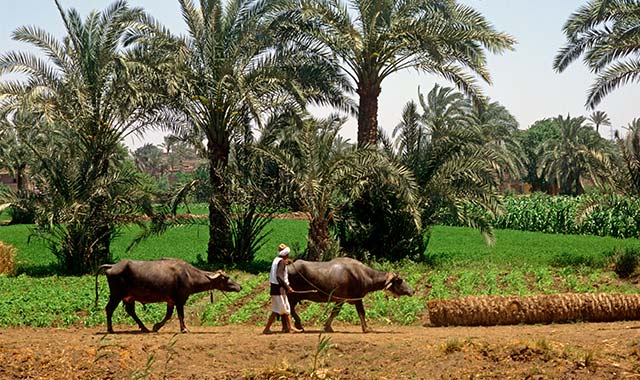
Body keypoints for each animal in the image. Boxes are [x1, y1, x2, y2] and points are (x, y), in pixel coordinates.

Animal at [95, 258, 242, 332]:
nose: (240, 286)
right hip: (116, 295)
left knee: (130, 311)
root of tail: (112, 266)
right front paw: (184, 329)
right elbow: (180, 315)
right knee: (109, 309)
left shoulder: (170, 300)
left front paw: (156, 327)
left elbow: (168, 315)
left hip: (129, 297)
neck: (188, 275)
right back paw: (110, 329)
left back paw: (144, 328)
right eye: (226, 278)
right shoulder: (180, 299)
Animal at [286, 256, 416, 332]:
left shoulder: (340, 299)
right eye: (400, 280)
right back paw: (298, 325)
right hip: (292, 295)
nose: (412, 291)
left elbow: (335, 312)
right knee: (290, 309)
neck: (364, 275)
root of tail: (288, 267)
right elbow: (361, 312)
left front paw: (328, 327)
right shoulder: (357, 298)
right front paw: (366, 328)